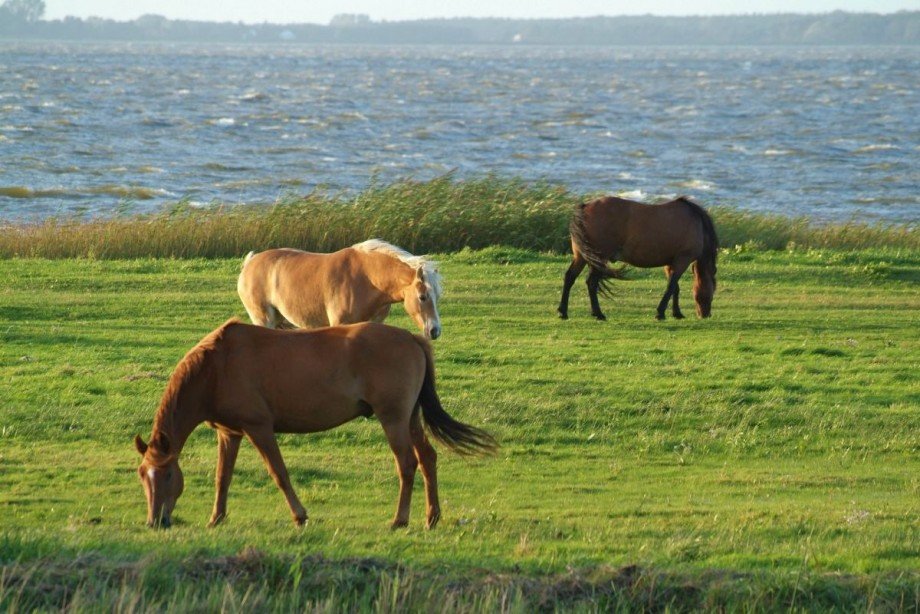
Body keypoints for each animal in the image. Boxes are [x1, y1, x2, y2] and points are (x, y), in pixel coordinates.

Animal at [133, 319, 496, 530]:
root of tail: (412, 339)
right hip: (410, 418)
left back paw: (400, 519)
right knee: (427, 458)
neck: (216, 366)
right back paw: (431, 517)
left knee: (407, 464)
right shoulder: (230, 433)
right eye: (142, 476)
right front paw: (216, 517)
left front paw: (299, 515)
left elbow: (279, 473)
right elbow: (223, 477)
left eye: (167, 475)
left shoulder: (259, 428)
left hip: (393, 418)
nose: (154, 522)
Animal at [237, 239, 443, 339]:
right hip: (264, 320)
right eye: (422, 296)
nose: (435, 331)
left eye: (437, 297)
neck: (366, 277)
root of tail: (250, 262)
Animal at [557, 196, 718, 321]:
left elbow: (675, 288)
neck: (696, 222)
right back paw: (598, 314)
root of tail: (585, 207)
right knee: (591, 282)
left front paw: (676, 313)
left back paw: (563, 312)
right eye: (711, 292)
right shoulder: (682, 260)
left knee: (570, 277)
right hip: (598, 257)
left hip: (582, 256)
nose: (705, 315)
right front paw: (660, 313)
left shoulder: (670, 263)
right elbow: (671, 287)